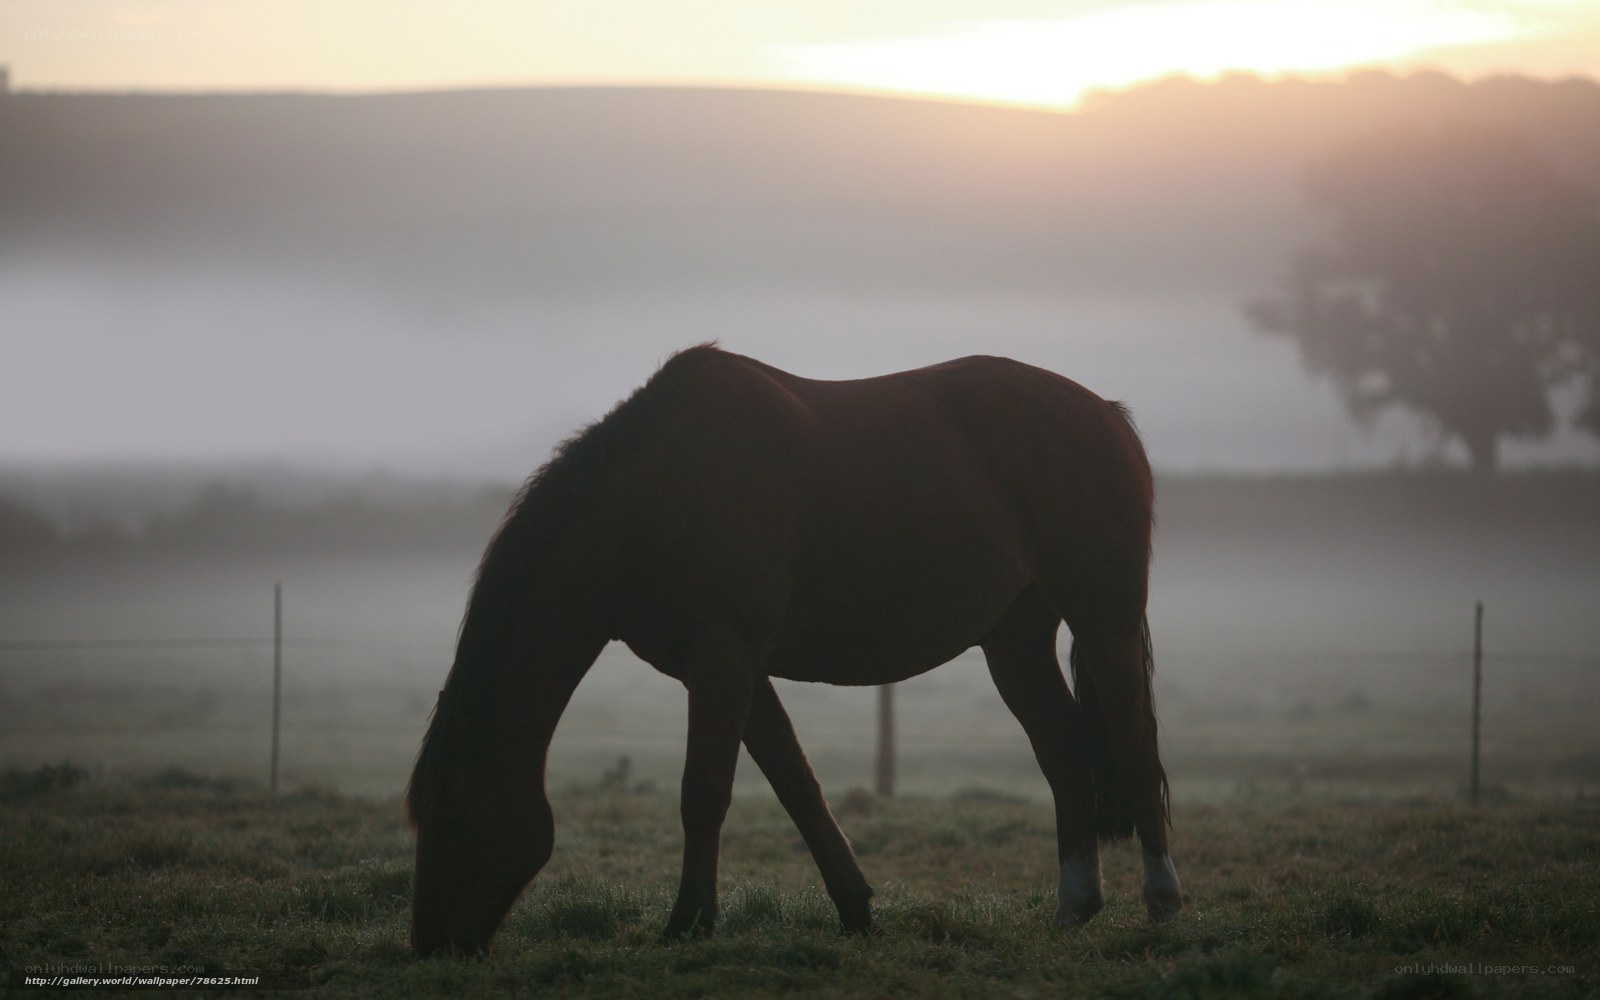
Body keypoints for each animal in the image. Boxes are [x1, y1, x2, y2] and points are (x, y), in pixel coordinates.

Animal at [406, 344, 1181, 956]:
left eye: (451, 814)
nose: (429, 945)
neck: (656, 494)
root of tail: (1106, 414)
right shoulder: (731, 670)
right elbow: (796, 785)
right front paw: (856, 909)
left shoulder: (725, 658)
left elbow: (704, 792)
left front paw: (687, 924)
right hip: (1013, 640)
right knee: (1062, 751)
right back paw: (1074, 906)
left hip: (1104, 621)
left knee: (1134, 746)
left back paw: (1163, 902)